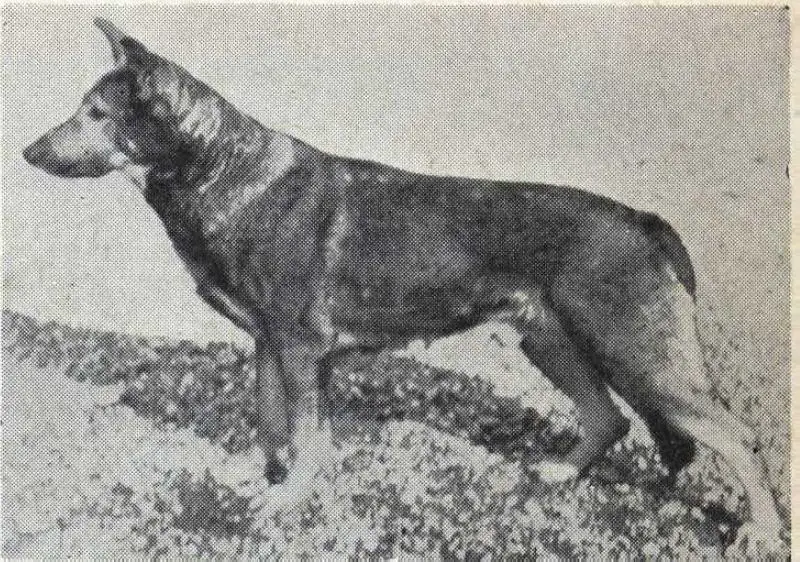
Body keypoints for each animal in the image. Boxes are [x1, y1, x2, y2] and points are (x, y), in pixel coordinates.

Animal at [23, 19, 784, 553]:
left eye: (96, 114)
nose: (28, 151)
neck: (220, 171)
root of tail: (645, 219)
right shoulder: (269, 348)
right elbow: (269, 425)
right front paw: (262, 478)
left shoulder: (300, 352)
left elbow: (307, 436)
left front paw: (290, 498)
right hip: (549, 343)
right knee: (609, 419)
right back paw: (563, 474)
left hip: (638, 358)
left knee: (735, 435)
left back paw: (764, 532)